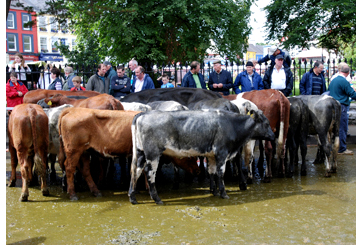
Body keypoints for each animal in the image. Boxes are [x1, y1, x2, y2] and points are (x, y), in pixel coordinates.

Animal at [129, 110, 276, 204]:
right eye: (267, 124)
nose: (273, 136)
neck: (231, 124)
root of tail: (144, 113)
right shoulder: (221, 152)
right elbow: (220, 173)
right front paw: (223, 193)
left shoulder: (211, 155)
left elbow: (211, 172)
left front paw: (214, 191)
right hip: (153, 154)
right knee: (149, 173)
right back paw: (157, 199)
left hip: (141, 153)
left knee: (136, 171)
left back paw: (133, 198)